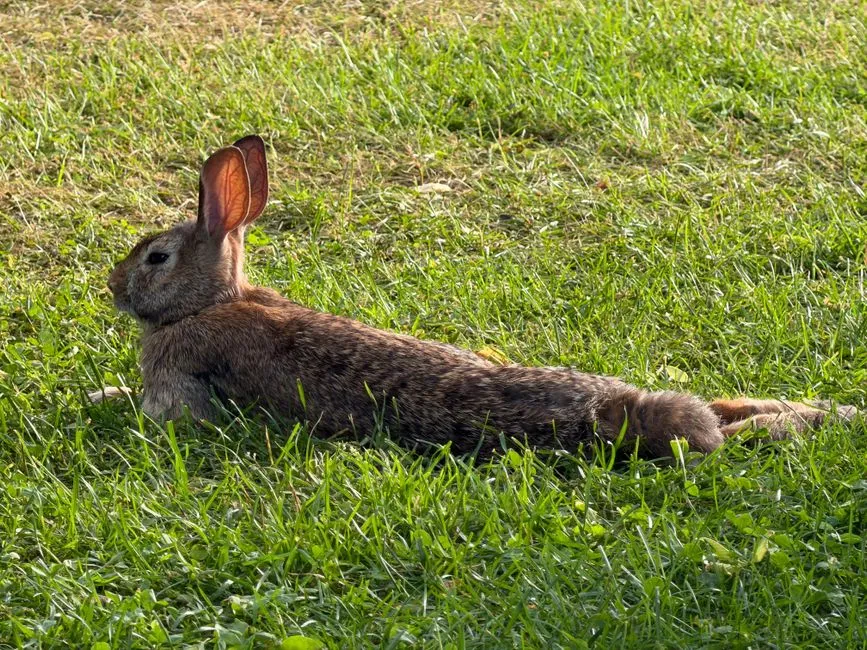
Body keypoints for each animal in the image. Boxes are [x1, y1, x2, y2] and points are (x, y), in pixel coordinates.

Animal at [106, 135, 857, 459]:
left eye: (155, 257)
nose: (112, 285)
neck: (209, 301)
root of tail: (619, 410)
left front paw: (103, 399)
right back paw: (826, 415)